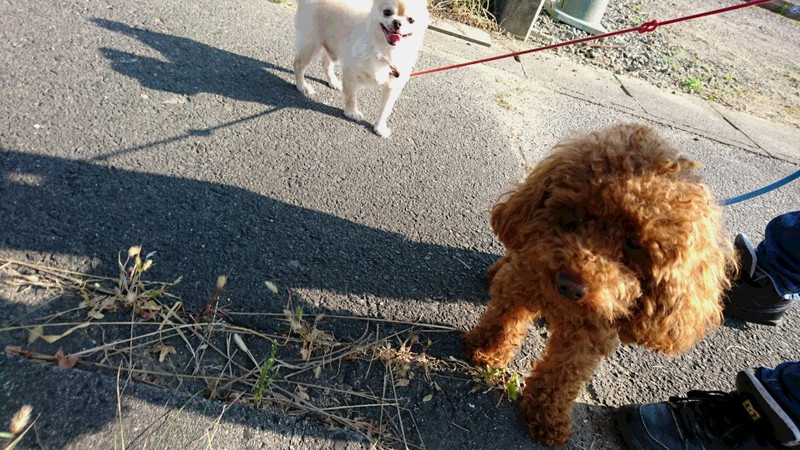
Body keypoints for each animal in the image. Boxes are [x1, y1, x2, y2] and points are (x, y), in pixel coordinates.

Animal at [293, 0, 429, 138]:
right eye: (387, 12)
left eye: (411, 20)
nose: (397, 22)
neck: (384, 51)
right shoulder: (351, 73)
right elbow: (351, 95)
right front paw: (351, 112)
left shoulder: (392, 86)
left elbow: (385, 108)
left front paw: (380, 127)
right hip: (311, 44)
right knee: (298, 64)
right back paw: (302, 86)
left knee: (326, 63)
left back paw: (333, 82)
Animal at [462, 123, 737, 446]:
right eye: (579, 214)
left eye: (634, 244)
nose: (570, 285)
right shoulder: (524, 280)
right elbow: (504, 318)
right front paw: (486, 351)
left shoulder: (592, 335)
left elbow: (565, 373)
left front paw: (548, 416)